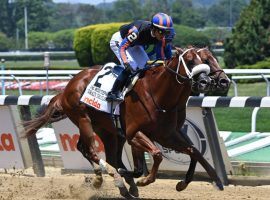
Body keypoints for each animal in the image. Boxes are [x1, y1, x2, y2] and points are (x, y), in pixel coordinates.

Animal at [22, 47, 226, 198]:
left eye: (210, 59)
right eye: (191, 61)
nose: (212, 81)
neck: (159, 95)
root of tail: (67, 87)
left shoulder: (167, 135)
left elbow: (193, 151)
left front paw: (207, 180)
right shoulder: (134, 134)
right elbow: (157, 154)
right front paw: (143, 180)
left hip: (108, 130)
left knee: (99, 153)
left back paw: (118, 183)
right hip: (84, 120)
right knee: (89, 149)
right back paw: (112, 179)